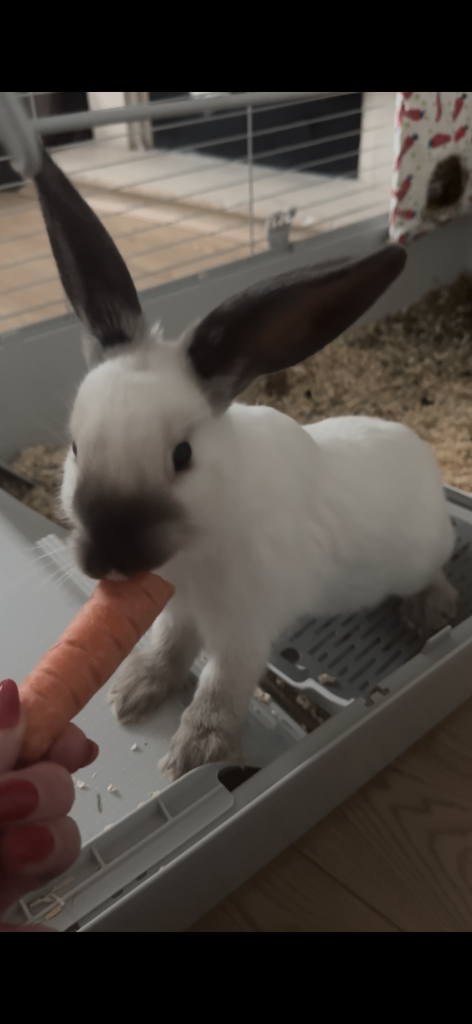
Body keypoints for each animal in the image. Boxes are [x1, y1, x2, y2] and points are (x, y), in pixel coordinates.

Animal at [0, 93, 457, 780]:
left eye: (182, 455)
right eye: (76, 448)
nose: (110, 558)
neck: (193, 552)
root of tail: (428, 462)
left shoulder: (244, 628)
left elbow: (223, 684)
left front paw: (195, 754)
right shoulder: (177, 608)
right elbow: (168, 648)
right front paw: (133, 693)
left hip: (422, 552)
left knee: (435, 571)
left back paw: (431, 611)